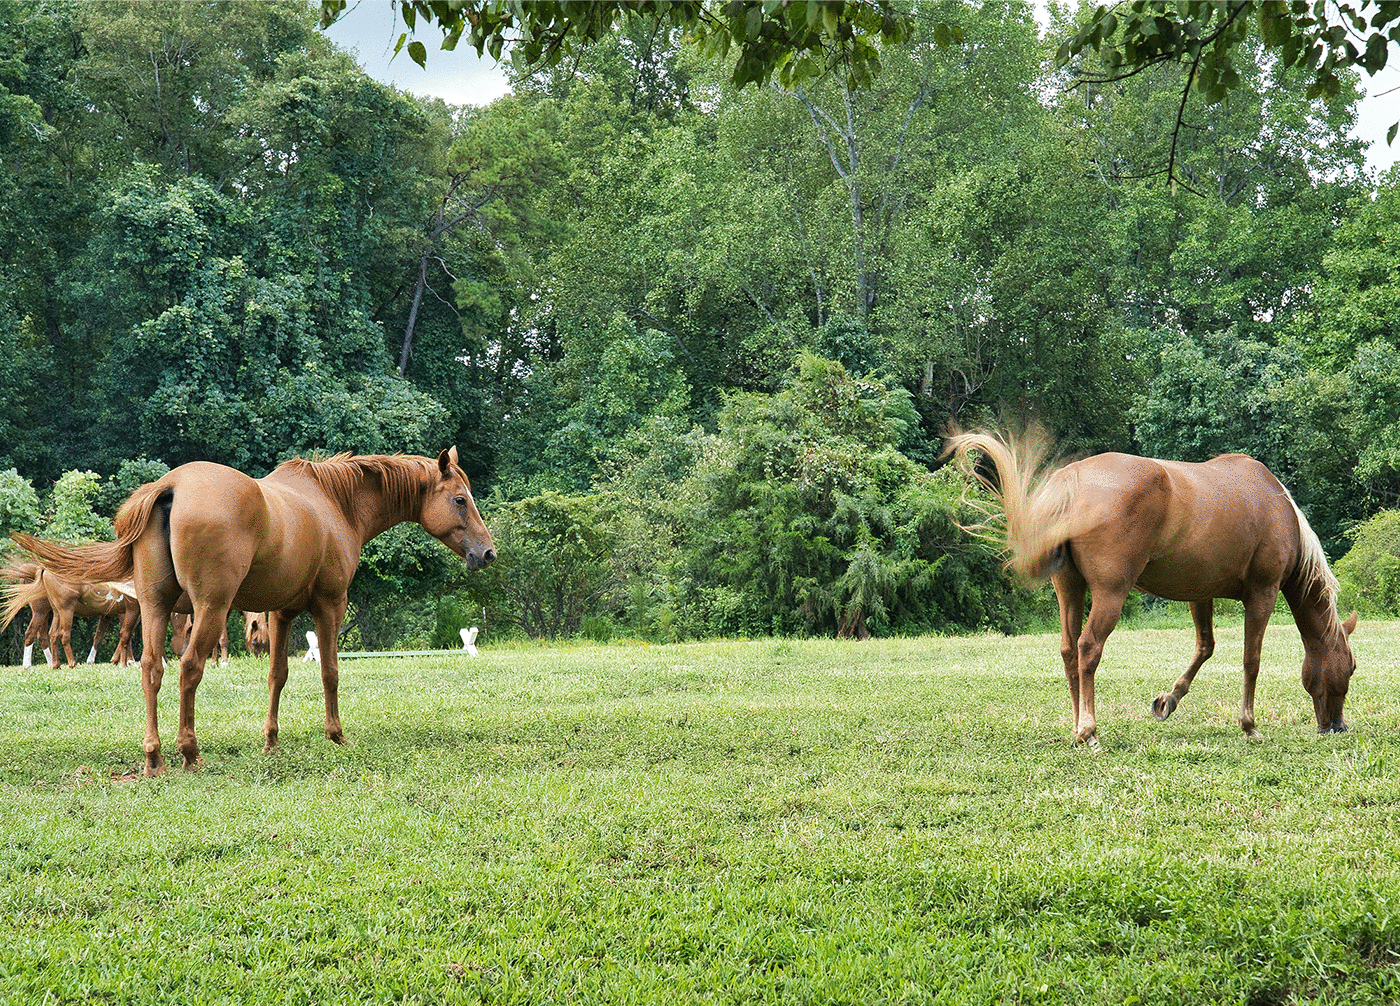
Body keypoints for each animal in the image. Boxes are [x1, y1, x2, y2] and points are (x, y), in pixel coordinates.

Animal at [13, 450, 495, 777]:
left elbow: (276, 676)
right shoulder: (329, 605)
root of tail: (171, 486)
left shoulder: (281, 613)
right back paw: (189, 752)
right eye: (460, 500)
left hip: (153, 608)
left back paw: (154, 758)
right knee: (189, 666)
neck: (334, 504)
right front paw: (336, 735)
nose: (487, 553)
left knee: (152, 668)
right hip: (208, 610)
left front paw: (271, 742)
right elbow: (330, 672)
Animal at [940, 425, 1355, 749]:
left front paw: (1168, 700)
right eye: (1350, 667)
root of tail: (1072, 478)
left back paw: (1076, 727)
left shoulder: (1199, 594)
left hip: (1069, 589)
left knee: (1069, 651)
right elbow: (1250, 660)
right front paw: (1249, 725)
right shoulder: (1263, 593)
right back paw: (1089, 731)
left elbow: (1205, 647)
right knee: (1088, 648)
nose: (1338, 727)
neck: (1276, 506)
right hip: (1110, 593)